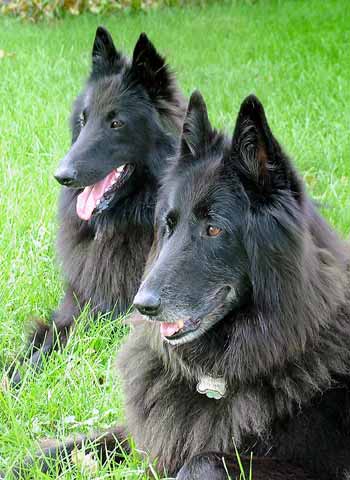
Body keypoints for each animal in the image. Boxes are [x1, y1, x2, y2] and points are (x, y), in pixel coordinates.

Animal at [14, 26, 186, 380]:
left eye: (116, 123)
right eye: (83, 119)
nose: (62, 175)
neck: (126, 221)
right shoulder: (79, 300)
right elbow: (49, 336)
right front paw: (19, 372)